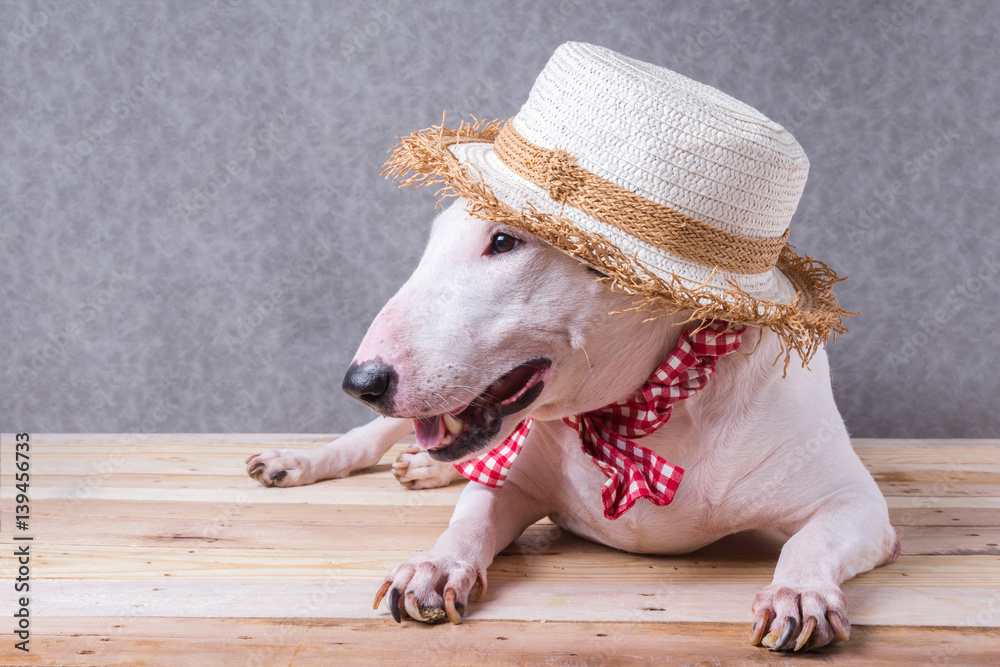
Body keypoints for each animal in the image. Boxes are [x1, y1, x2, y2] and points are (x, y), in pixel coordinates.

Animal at [244, 43, 900, 652]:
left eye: (504, 241)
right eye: (433, 241)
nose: (362, 382)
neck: (643, 410)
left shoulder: (856, 504)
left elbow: (811, 538)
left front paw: (799, 594)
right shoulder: (510, 482)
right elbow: (470, 518)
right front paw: (433, 566)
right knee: (379, 438)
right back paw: (301, 462)